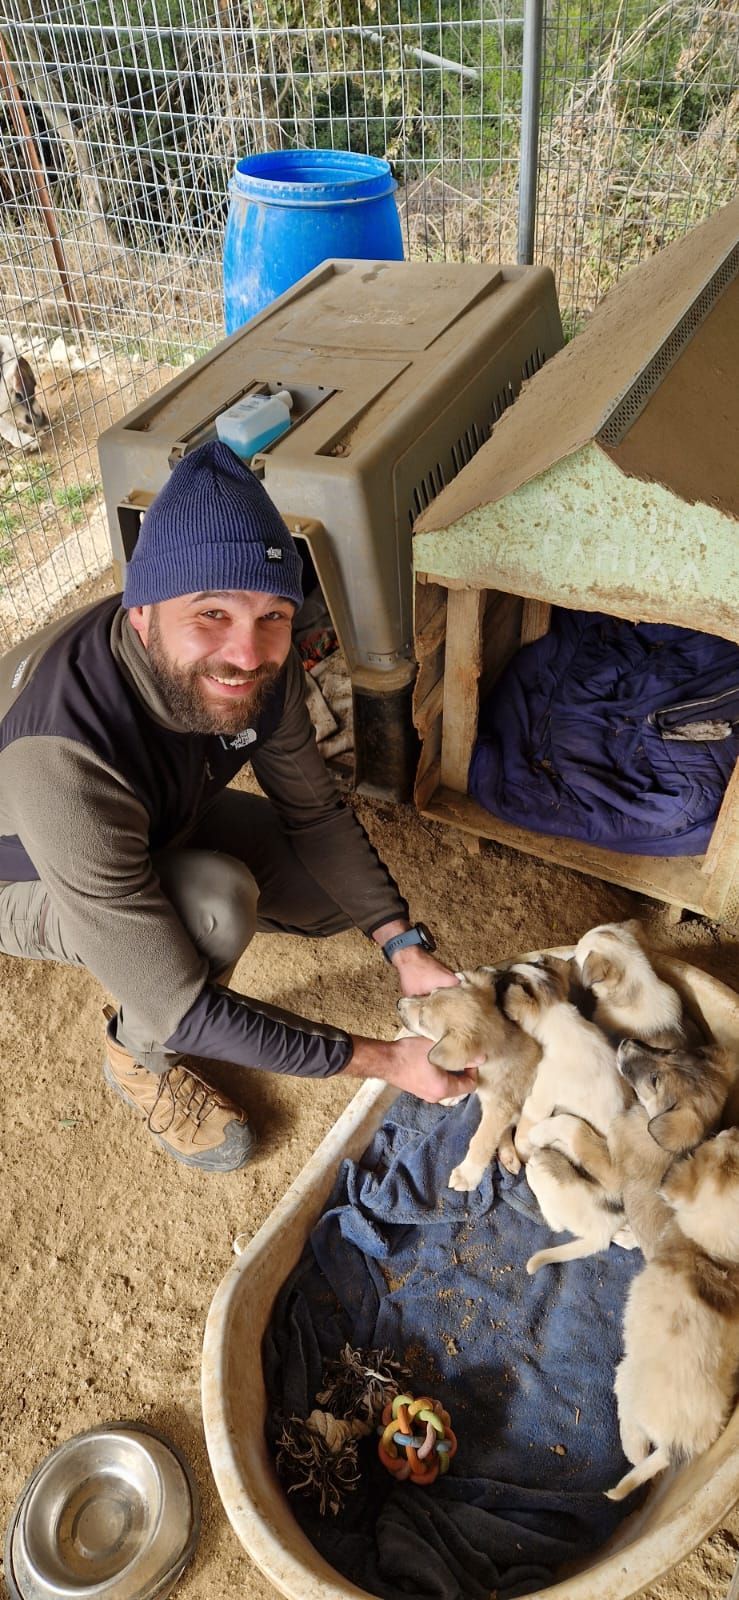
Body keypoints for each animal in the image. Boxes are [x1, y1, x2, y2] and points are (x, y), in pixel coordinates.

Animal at [397, 969, 541, 1190]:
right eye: (431, 992)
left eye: (422, 1021)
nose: (398, 1003)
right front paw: (451, 1096)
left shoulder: (500, 1109)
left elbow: (481, 1141)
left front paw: (466, 1175)